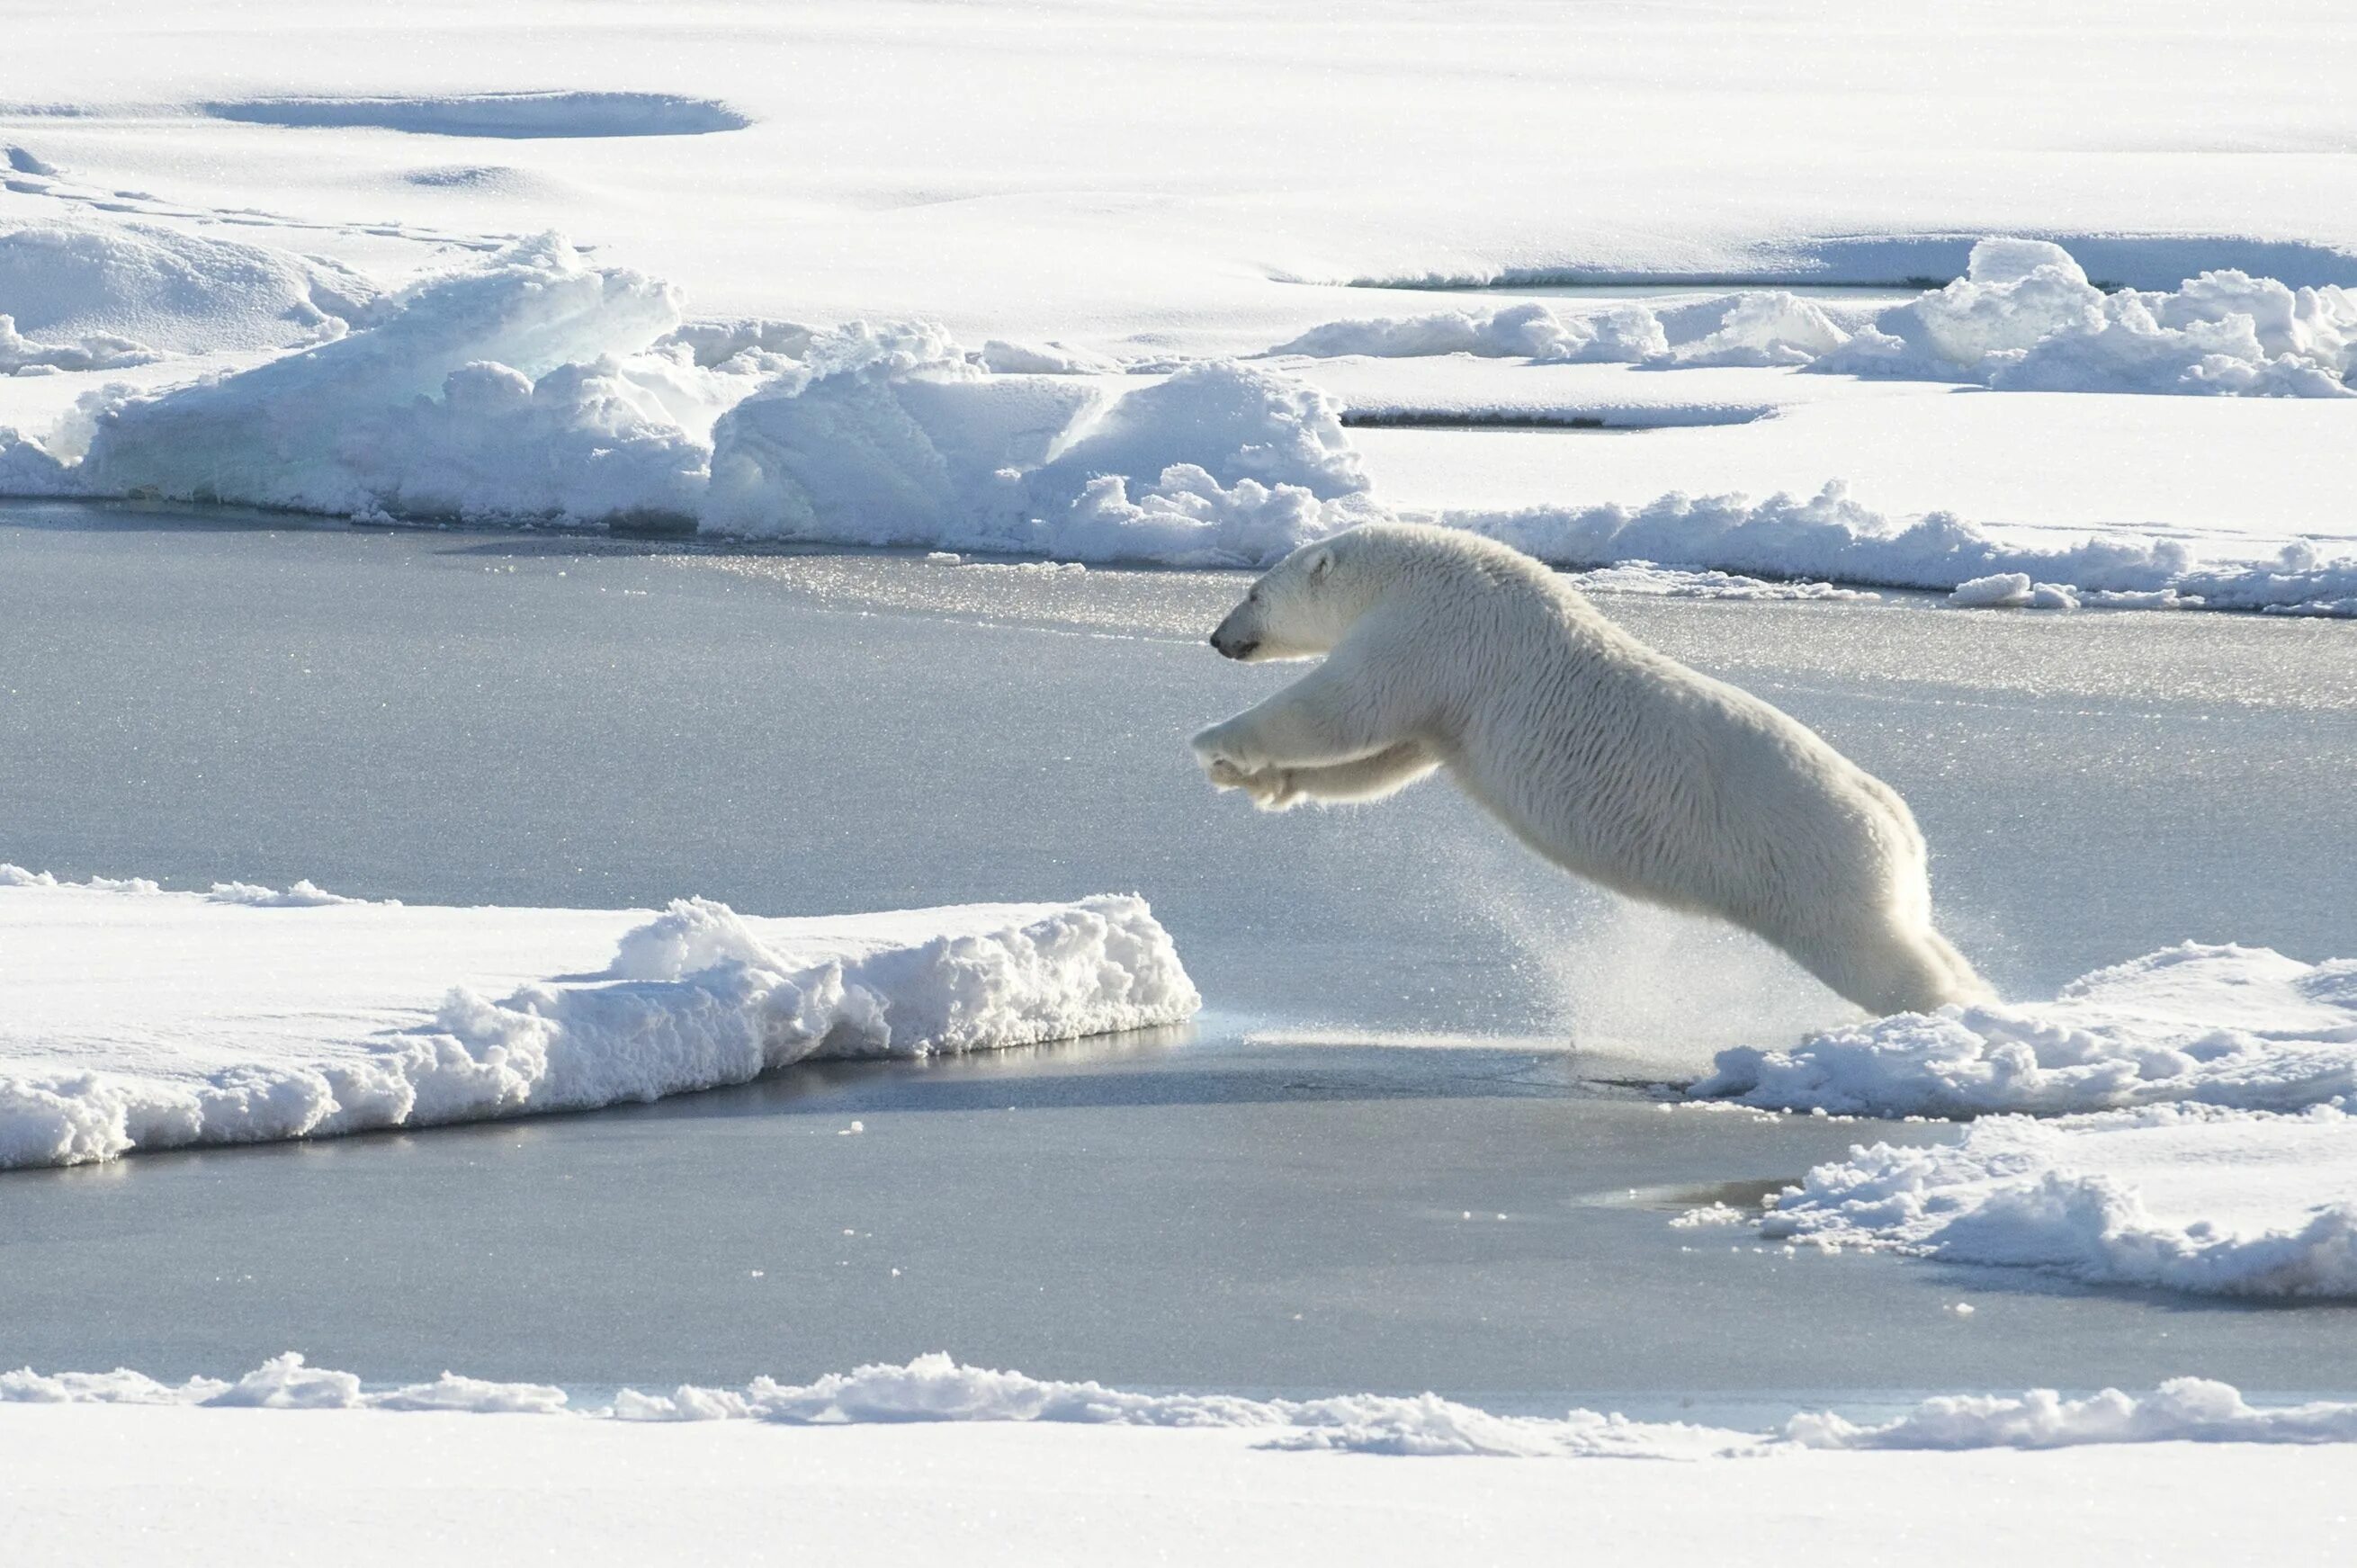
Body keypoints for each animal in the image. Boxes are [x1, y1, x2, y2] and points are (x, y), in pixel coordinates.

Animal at [1196, 525, 1989, 1014]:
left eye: (1253, 593)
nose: (1216, 637)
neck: (1411, 571)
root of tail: (1896, 820)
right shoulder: (1448, 696)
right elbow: (1387, 759)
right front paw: (1258, 780)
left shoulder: (1435, 631)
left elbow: (1344, 708)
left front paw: (1213, 739)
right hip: (1869, 870)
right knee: (1918, 935)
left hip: (1809, 864)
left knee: (1878, 959)